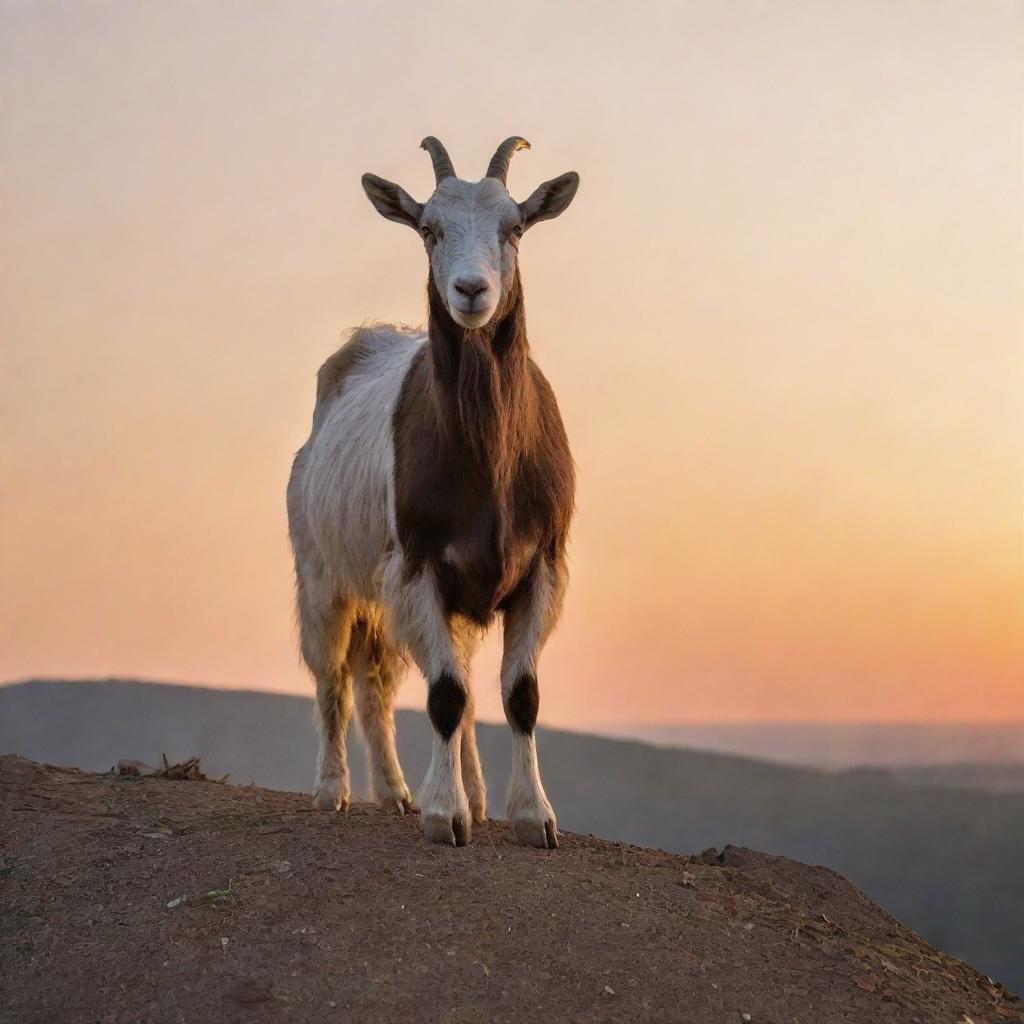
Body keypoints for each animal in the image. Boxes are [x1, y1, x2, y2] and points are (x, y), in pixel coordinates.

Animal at [284, 134, 581, 847]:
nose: (471, 290)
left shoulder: (542, 566)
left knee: (389, 681)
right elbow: (444, 693)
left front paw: (532, 817)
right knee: (337, 677)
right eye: (428, 228)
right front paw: (445, 815)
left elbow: (518, 694)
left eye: (515, 227)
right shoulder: (416, 564)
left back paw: (415, 795)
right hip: (323, 575)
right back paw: (338, 791)